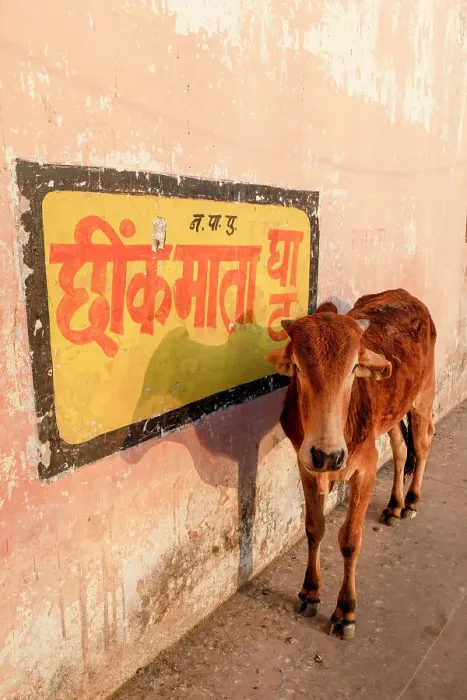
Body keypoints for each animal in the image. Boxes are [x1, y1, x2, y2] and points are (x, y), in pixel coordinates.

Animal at [265, 289, 436, 640]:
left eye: (354, 368)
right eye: (298, 367)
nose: (328, 455)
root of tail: (408, 296)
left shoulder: (365, 470)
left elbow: (349, 540)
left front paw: (345, 611)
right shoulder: (305, 465)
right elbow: (314, 528)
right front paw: (310, 593)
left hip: (423, 397)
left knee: (424, 443)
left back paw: (411, 501)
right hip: (393, 415)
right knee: (401, 449)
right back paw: (394, 506)